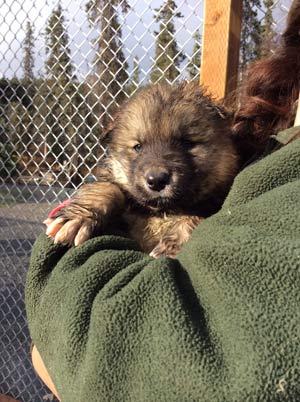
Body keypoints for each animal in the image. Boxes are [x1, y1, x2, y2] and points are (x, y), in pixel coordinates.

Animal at [46, 82, 239, 258]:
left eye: (186, 143)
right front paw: (76, 218)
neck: (161, 212)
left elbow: (195, 217)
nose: (157, 180)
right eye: (138, 146)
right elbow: (108, 188)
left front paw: (171, 247)